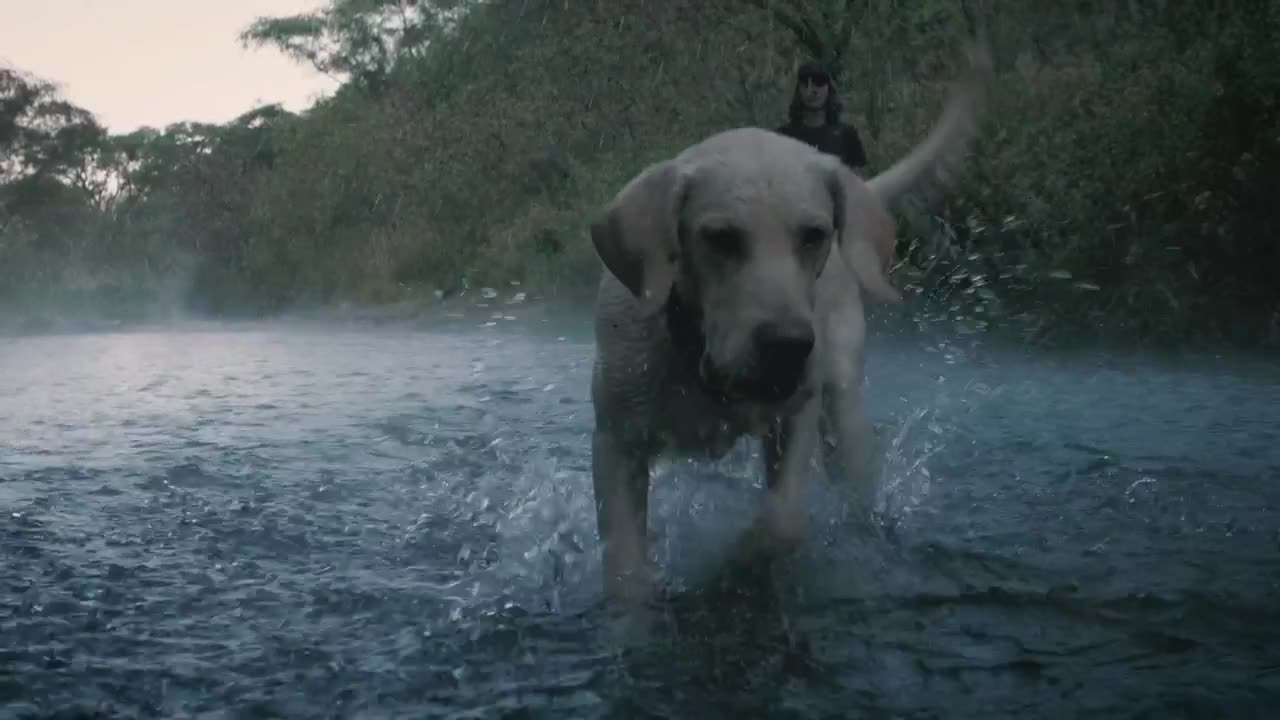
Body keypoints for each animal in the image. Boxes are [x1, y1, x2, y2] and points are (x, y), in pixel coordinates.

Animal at [586, 46, 993, 599]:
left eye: (813, 234)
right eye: (720, 237)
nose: (788, 345)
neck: (696, 355)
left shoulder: (795, 416)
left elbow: (782, 523)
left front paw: (739, 562)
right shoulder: (615, 443)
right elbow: (625, 568)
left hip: (842, 406)